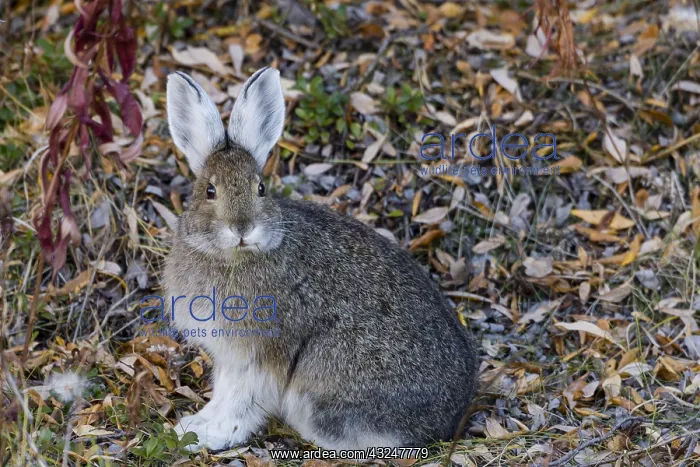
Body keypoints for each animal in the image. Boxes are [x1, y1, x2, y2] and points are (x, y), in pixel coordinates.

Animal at [163, 67, 480, 453]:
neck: (235, 257)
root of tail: (449, 419)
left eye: (261, 188)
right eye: (210, 191)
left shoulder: (261, 355)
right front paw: (194, 425)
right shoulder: (230, 357)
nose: (242, 228)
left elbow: (241, 400)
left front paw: (206, 434)